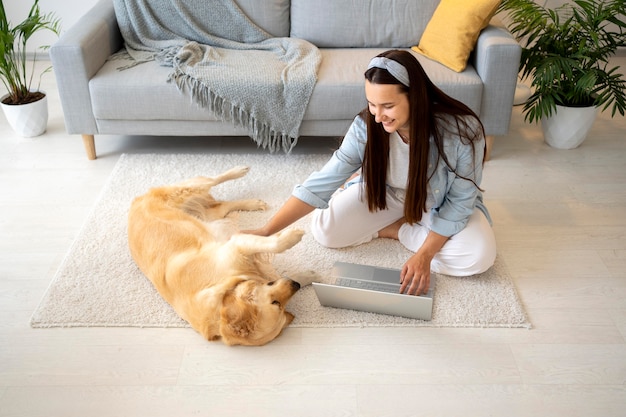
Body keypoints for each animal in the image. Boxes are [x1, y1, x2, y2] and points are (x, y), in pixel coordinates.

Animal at [127, 166, 310, 344]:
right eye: (277, 304)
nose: (295, 285)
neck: (224, 287)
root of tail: (135, 203)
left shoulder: (237, 245)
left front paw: (308, 273)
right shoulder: (237, 246)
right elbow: (274, 245)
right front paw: (294, 239)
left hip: (197, 200)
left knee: (216, 189)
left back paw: (244, 183)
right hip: (198, 203)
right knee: (217, 192)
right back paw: (245, 186)